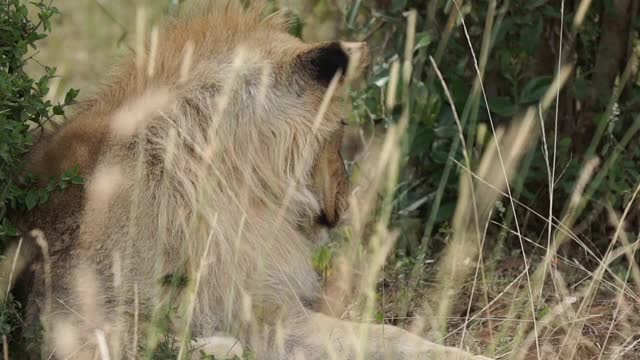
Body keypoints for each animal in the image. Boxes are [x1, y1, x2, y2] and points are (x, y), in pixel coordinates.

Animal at [11, 1, 490, 358]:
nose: (345, 206)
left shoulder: (268, 308)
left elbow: (388, 336)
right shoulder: (66, 321)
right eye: (339, 131)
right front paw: (217, 344)